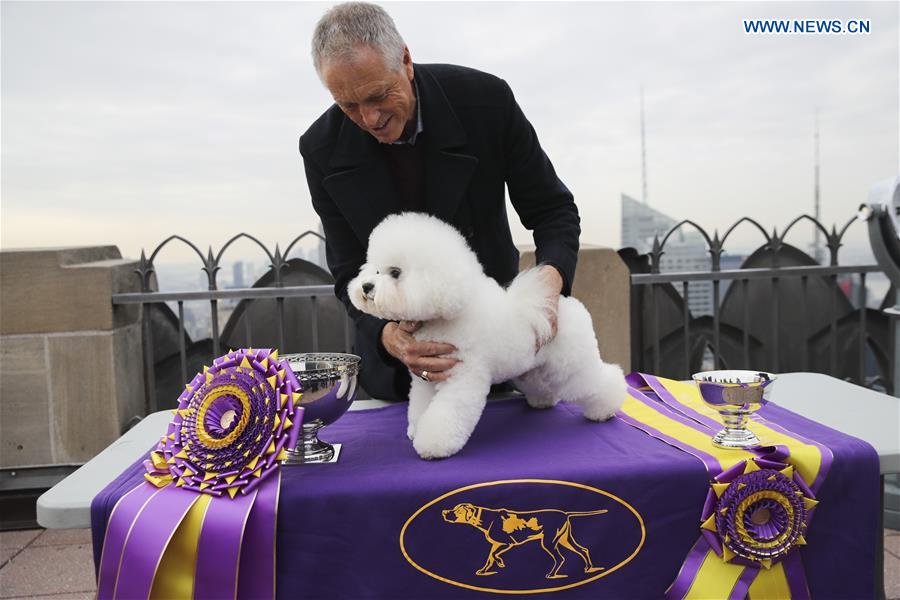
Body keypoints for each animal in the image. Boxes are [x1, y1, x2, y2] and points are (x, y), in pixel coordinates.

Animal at [346, 213, 624, 462]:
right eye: (375, 270)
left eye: (395, 272)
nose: (366, 287)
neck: (446, 315)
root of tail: (561, 306)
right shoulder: (427, 378)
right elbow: (420, 406)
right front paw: (416, 429)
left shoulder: (462, 377)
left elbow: (447, 414)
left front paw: (433, 445)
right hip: (533, 368)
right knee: (542, 384)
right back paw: (543, 401)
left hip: (570, 367)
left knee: (599, 382)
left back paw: (605, 409)